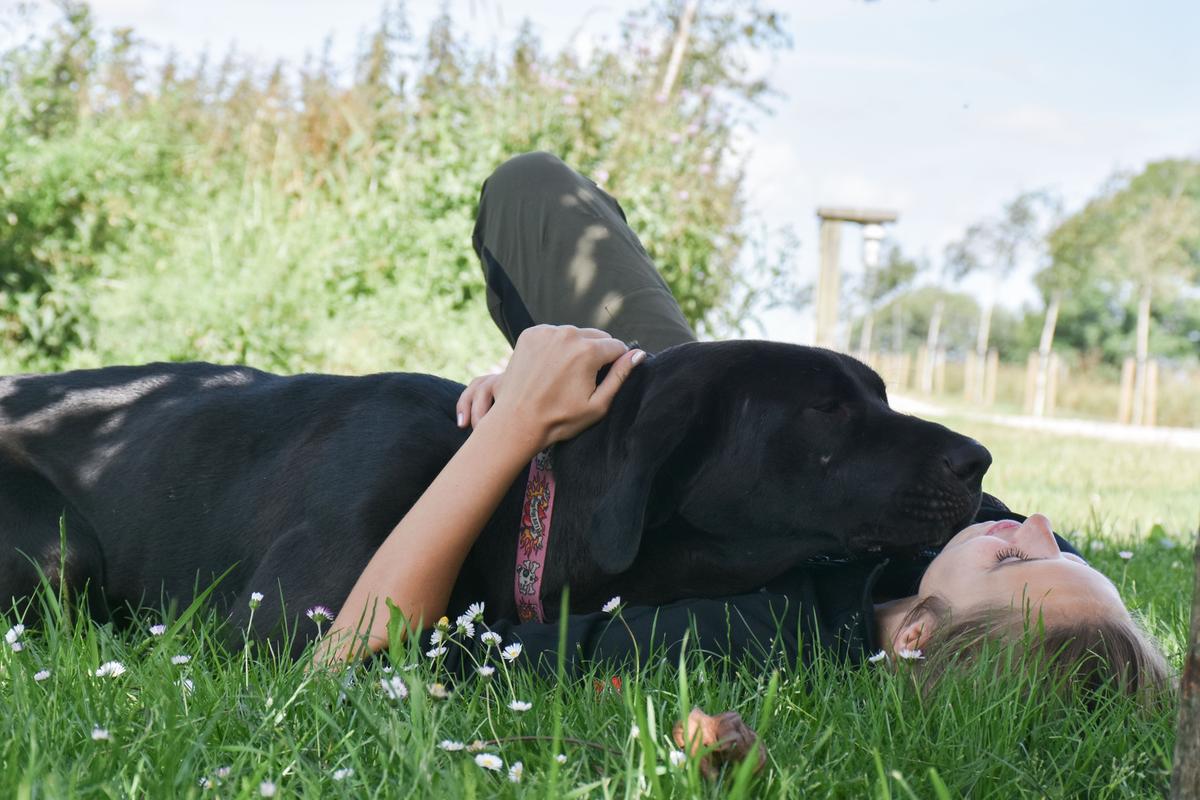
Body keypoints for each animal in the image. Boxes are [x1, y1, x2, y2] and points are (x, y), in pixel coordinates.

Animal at [0, 340, 988, 652]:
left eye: (881, 392)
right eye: (827, 408)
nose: (978, 458)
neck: (521, 500)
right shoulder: (292, 624)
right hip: (58, 546)